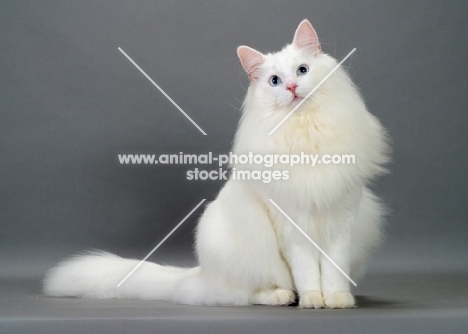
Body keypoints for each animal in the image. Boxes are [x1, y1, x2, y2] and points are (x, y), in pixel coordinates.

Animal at [44, 20, 390, 308]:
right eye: (275, 81)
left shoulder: (343, 218)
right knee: (244, 293)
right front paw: (312, 300)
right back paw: (283, 296)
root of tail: (199, 274)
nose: (292, 88)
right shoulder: (291, 226)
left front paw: (337, 299)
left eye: (302, 71)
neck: (304, 131)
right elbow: (306, 271)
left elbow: (334, 269)